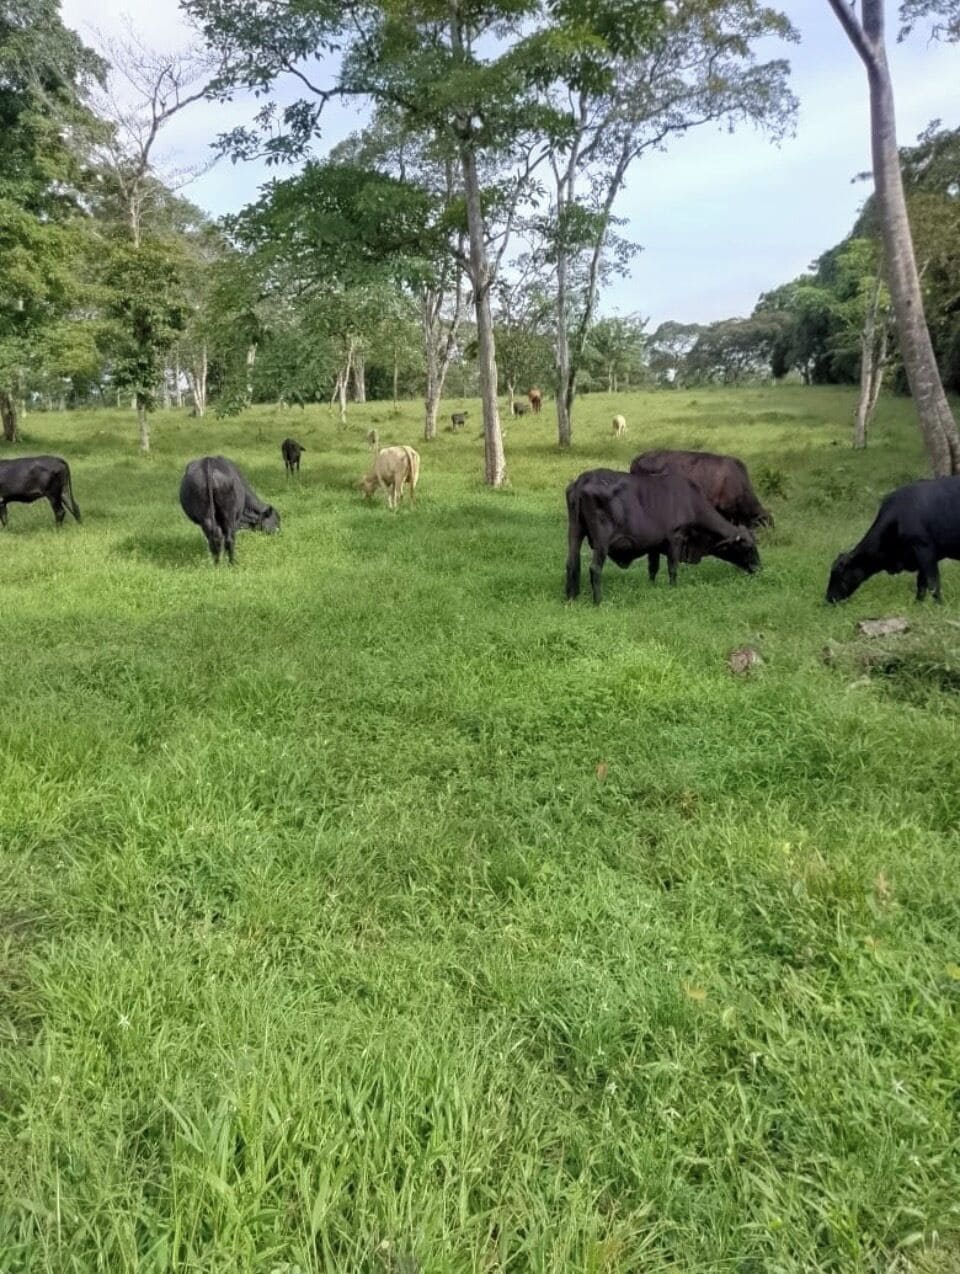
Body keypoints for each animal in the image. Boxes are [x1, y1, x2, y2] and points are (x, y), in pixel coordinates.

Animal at [565, 468, 760, 604]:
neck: (691, 503)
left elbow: (653, 568)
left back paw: (571, 598)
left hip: (574, 532)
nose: (759, 568)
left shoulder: (654, 545)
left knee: (572, 563)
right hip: (602, 541)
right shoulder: (676, 539)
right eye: (749, 547)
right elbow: (672, 568)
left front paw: (652, 587)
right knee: (594, 568)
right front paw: (673, 589)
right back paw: (598, 601)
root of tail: (584, 478)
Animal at [826, 475, 960, 604]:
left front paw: (939, 605)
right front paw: (918, 604)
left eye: (839, 575)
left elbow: (932, 582)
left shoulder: (924, 549)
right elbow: (921, 583)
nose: (828, 598)